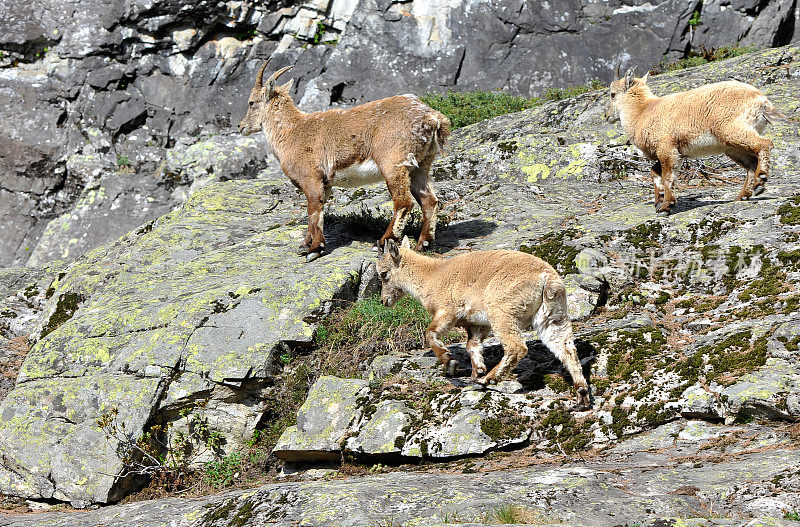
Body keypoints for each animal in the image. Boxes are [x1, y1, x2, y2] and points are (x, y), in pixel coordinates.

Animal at [238, 59, 450, 262]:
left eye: (251, 102)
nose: (241, 126)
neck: (292, 132)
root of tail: (433, 117)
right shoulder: (325, 182)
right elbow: (318, 209)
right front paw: (305, 245)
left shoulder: (311, 178)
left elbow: (313, 209)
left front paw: (315, 249)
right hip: (420, 165)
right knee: (429, 201)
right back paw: (423, 244)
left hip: (393, 163)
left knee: (404, 202)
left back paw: (384, 241)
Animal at [378, 237, 592, 410]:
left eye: (383, 274)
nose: (383, 301)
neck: (432, 276)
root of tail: (546, 277)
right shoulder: (477, 324)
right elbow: (472, 345)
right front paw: (476, 371)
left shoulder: (448, 311)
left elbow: (431, 333)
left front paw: (449, 362)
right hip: (553, 316)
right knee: (567, 349)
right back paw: (581, 396)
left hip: (501, 311)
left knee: (517, 347)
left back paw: (489, 379)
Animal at [604, 67, 780, 216]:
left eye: (612, 94)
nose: (606, 116)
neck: (642, 113)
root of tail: (761, 100)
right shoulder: (675, 153)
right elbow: (655, 173)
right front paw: (659, 201)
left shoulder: (667, 149)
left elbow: (667, 176)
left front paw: (666, 206)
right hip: (732, 146)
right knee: (751, 163)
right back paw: (743, 195)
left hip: (732, 130)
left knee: (765, 144)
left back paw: (760, 182)